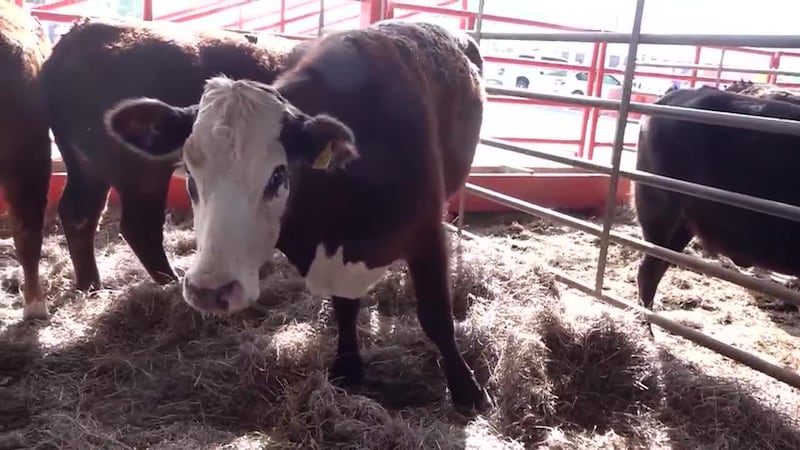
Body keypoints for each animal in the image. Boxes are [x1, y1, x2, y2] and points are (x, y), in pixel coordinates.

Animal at [39, 17, 307, 292]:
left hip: (88, 167)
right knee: (138, 226)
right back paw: (169, 280)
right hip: (142, 174)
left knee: (79, 214)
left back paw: (90, 285)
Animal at [102, 20, 491, 412]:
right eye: (190, 176)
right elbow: (345, 307)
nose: (210, 291)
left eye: (278, 175)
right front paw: (348, 366)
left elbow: (435, 316)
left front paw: (467, 389)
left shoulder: (427, 234)